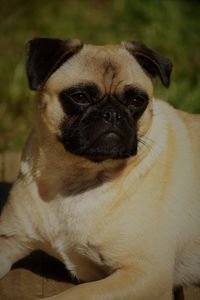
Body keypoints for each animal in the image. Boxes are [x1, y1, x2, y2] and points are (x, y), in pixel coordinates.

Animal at [0, 38, 200, 300]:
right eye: (80, 97)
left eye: (137, 101)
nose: (112, 113)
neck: (76, 179)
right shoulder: (8, 239)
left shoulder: (145, 274)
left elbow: (75, 294)